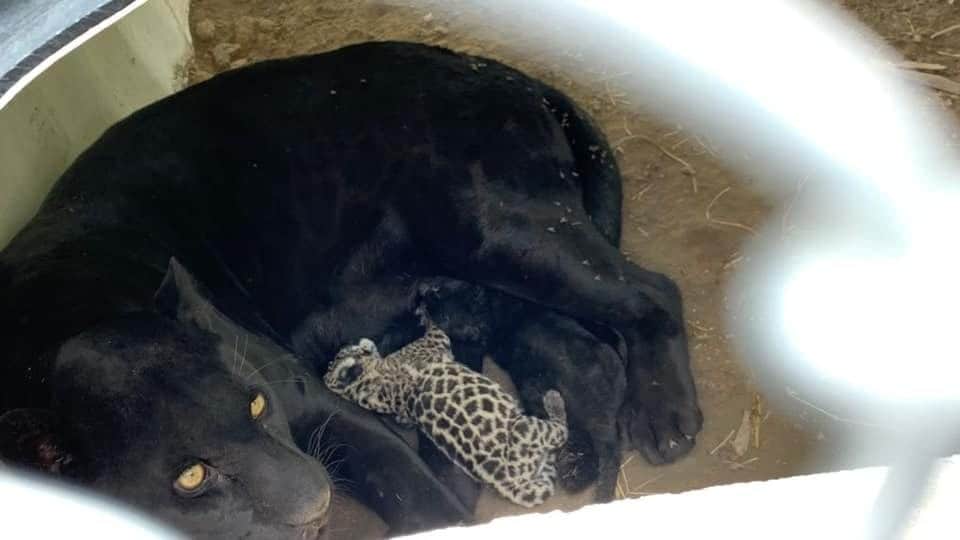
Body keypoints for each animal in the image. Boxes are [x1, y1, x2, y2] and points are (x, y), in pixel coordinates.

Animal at [324, 310, 569, 508]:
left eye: (340, 350)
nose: (351, 343)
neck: (364, 386)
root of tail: (504, 480)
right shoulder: (434, 342)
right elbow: (436, 326)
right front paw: (425, 311)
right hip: (525, 427)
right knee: (561, 431)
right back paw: (554, 400)